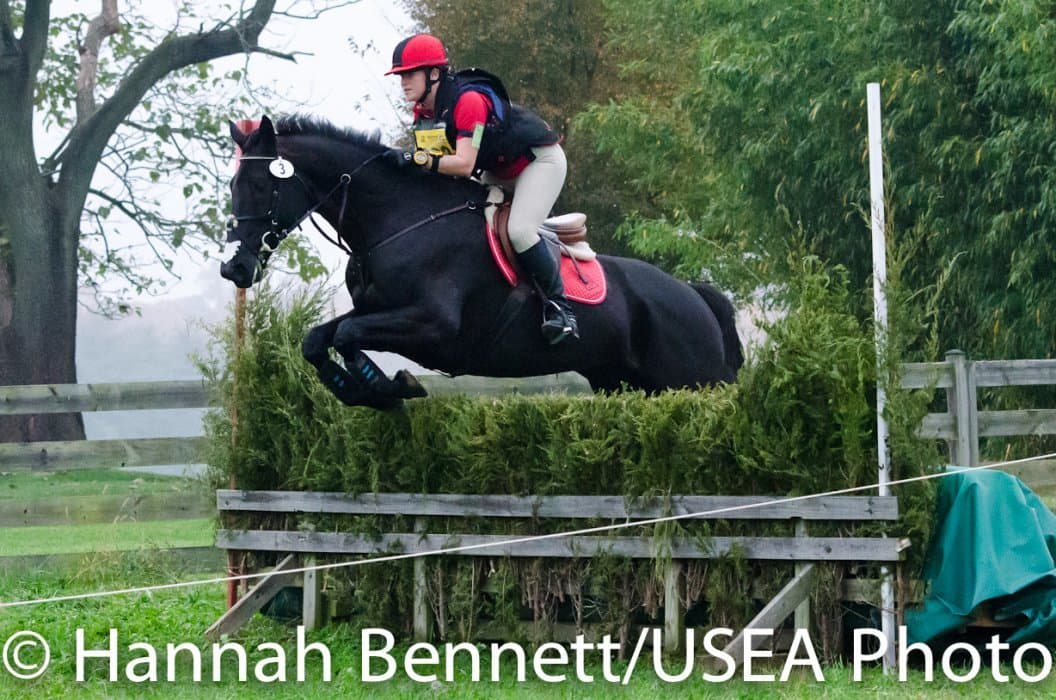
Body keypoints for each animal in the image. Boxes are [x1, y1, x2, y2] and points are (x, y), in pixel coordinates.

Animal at [221, 115, 743, 409]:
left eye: (262, 186)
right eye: (232, 186)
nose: (235, 270)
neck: (400, 218)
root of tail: (693, 294)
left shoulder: (433, 326)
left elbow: (347, 335)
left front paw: (390, 387)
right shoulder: (377, 310)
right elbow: (319, 339)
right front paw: (362, 391)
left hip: (691, 380)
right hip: (620, 381)